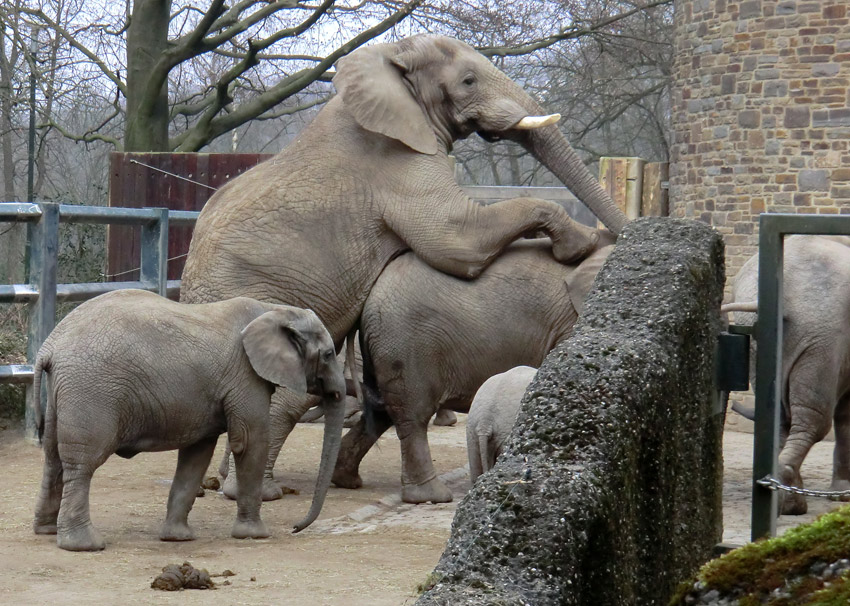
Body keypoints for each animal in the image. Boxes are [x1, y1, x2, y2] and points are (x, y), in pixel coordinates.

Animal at [32, 290, 344, 552]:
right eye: (329, 354)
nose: (295, 527)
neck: (275, 310)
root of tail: (48, 348)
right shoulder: (245, 377)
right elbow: (250, 441)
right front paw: (256, 535)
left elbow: (198, 453)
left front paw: (177, 538)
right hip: (90, 392)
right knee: (83, 464)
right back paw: (84, 545)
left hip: (62, 393)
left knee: (53, 459)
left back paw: (47, 531)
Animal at [332, 232, 616, 504]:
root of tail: (368, 299)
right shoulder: (569, 326)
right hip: (406, 343)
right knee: (412, 414)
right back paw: (431, 497)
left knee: (382, 411)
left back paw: (346, 479)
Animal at [724, 235, 848, 516]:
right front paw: (842, 496)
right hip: (821, 336)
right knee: (813, 420)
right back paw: (790, 494)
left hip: (759, 337)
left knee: (781, 418)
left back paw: (786, 498)